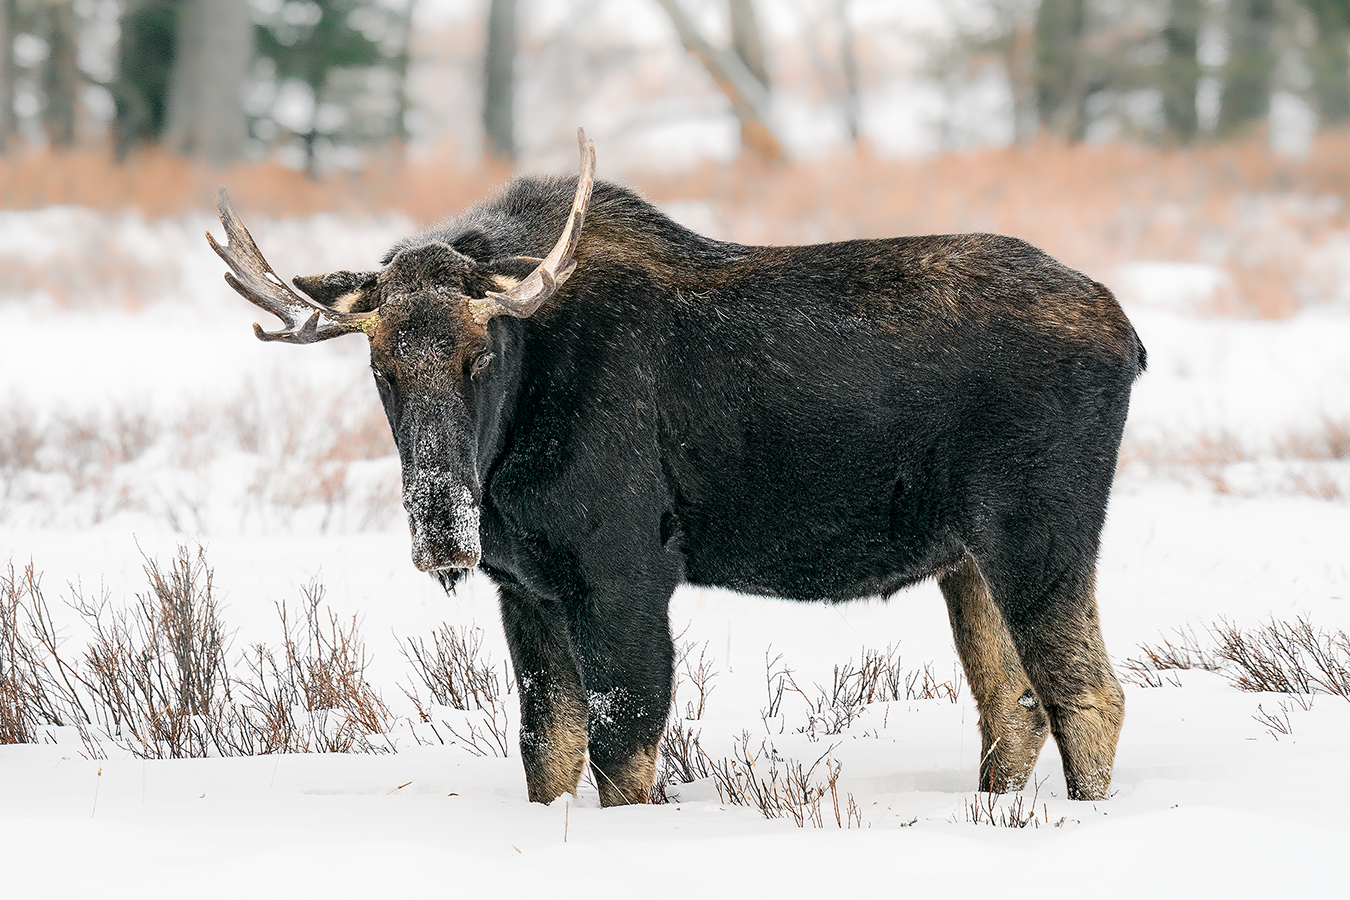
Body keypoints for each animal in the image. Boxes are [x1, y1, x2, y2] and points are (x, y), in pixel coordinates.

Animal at [205, 128, 1144, 809]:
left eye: (481, 356)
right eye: (381, 369)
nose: (442, 530)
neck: (510, 452)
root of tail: (1129, 337)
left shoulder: (625, 570)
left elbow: (623, 748)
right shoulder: (527, 586)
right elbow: (547, 749)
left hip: (1039, 532)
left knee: (1089, 695)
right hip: (967, 558)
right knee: (1013, 706)